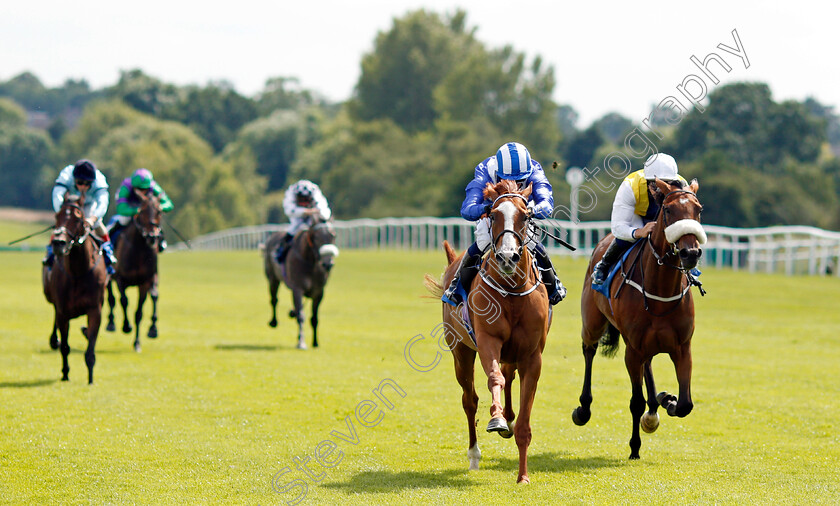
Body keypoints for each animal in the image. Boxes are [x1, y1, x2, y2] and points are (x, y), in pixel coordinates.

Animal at [42, 194, 109, 384]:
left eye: (78, 218)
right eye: (57, 216)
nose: (59, 243)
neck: (78, 271)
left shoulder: (95, 310)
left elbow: (90, 349)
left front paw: (91, 379)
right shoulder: (63, 311)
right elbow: (65, 346)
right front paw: (65, 374)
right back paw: (54, 340)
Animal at [106, 193, 162, 352]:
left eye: (159, 211)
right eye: (141, 211)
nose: (152, 236)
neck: (139, 250)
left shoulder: (145, 282)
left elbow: (139, 312)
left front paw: (137, 343)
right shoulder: (121, 279)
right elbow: (123, 300)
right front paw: (126, 326)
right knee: (111, 298)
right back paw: (111, 323)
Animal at [264, 215, 340, 350]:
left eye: (333, 235)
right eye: (316, 236)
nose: (327, 264)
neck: (310, 261)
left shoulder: (319, 292)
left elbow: (314, 318)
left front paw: (315, 342)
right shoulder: (297, 288)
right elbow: (301, 315)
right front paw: (301, 342)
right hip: (272, 278)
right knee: (274, 299)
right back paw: (273, 321)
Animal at [426, 180, 552, 484]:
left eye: (525, 216)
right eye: (493, 215)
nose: (507, 257)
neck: (512, 292)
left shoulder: (532, 356)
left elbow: (524, 422)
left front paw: (523, 477)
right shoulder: (487, 342)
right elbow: (494, 378)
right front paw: (496, 418)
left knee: (508, 377)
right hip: (460, 351)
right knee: (470, 400)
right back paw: (475, 453)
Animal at [576, 178, 704, 458]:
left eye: (698, 209)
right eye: (668, 210)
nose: (691, 253)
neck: (660, 290)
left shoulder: (683, 347)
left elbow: (686, 404)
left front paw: (666, 400)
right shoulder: (632, 350)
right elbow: (636, 402)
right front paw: (635, 447)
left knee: (649, 365)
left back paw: (656, 404)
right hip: (593, 323)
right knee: (589, 350)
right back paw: (583, 408)